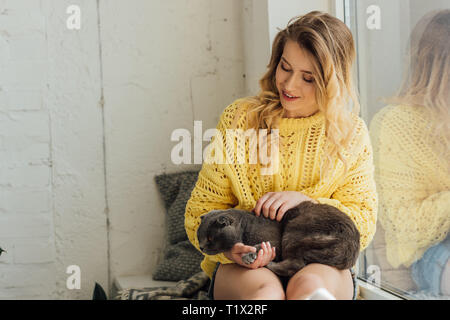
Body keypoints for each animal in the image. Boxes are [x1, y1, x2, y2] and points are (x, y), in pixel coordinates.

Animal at [199, 201, 360, 276]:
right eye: (199, 238)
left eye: (210, 238)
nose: (201, 247)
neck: (246, 225)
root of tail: (349, 245)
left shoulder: (275, 242)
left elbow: (260, 245)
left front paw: (247, 255)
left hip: (293, 231)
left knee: (296, 264)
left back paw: (269, 264)